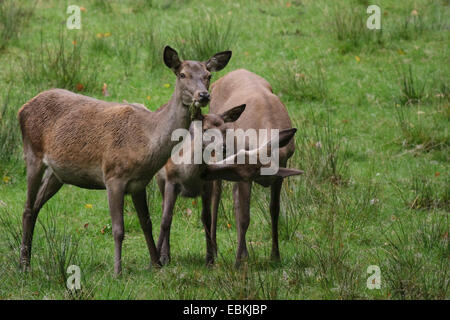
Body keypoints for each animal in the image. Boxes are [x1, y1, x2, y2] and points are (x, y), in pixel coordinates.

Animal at [16, 45, 232, 276]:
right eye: (182, 74)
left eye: (208, 75)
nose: (204, 95)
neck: (146, 141)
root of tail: (22, 108)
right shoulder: (113, 176)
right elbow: (118, 229)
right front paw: (117, 272)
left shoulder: (140, 183)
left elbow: (147, 223)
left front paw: (156, 264)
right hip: (32, 154)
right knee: (27, 208)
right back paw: (24, 264)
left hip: (57, 173)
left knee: (36, 207)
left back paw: (25, 259)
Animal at [208, 69, 298, 268]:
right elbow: (244, 217)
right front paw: (237, 263)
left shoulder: (281, 168)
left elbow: (274, 209)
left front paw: (275, 255)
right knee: (216, 195)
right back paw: (215, 251)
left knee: (234, 198)